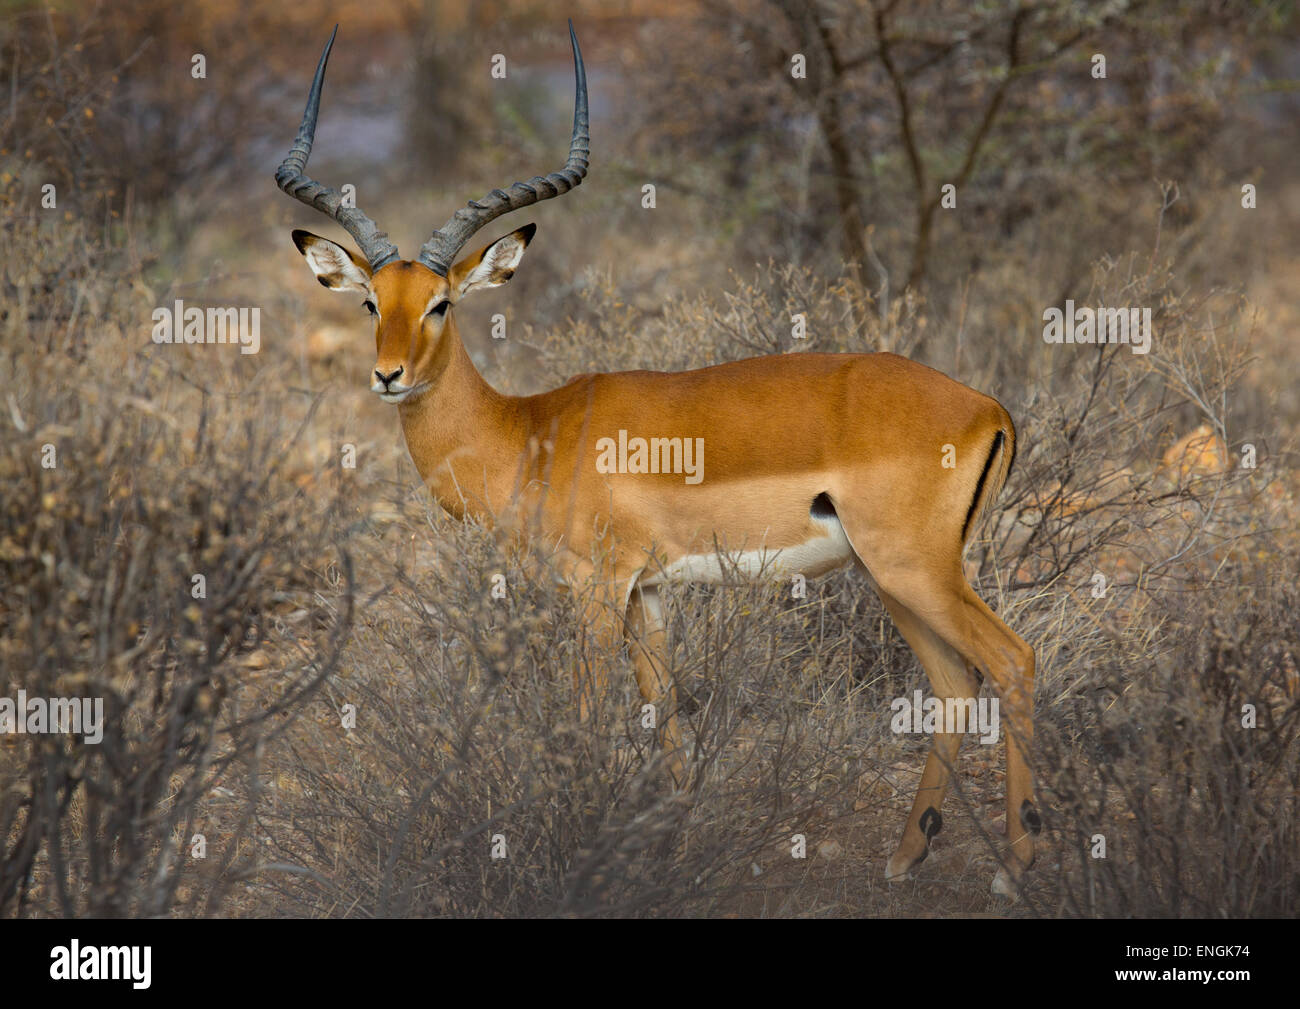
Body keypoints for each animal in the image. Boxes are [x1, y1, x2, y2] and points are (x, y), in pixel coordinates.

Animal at [275, 21, 1040, 897]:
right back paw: (906, 855)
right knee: (956, 686)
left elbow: (582, 723)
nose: (388, 375)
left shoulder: (595, 590)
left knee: (1013, 663)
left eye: (441, 303)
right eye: (372, 301)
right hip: (896, 579)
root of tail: (987, 407)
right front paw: (673, 846)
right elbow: (667, 720)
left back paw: (1016, 866)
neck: (531, 432)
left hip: (915, 569)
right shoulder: (648, 595)